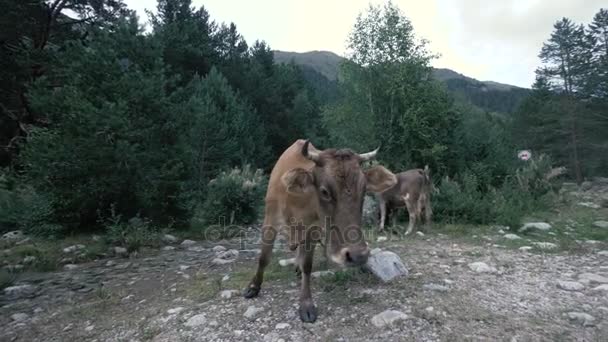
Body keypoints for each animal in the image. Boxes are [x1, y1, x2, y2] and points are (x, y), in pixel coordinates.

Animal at [243, 138, 400, 320]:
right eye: (324, 191)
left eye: (364, 190)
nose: (358, 255)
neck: (298, 202)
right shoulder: (270, 219)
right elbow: (264, 257)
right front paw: (253, 287)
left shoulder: (313, 230)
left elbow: (307, 265)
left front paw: (306, 304)